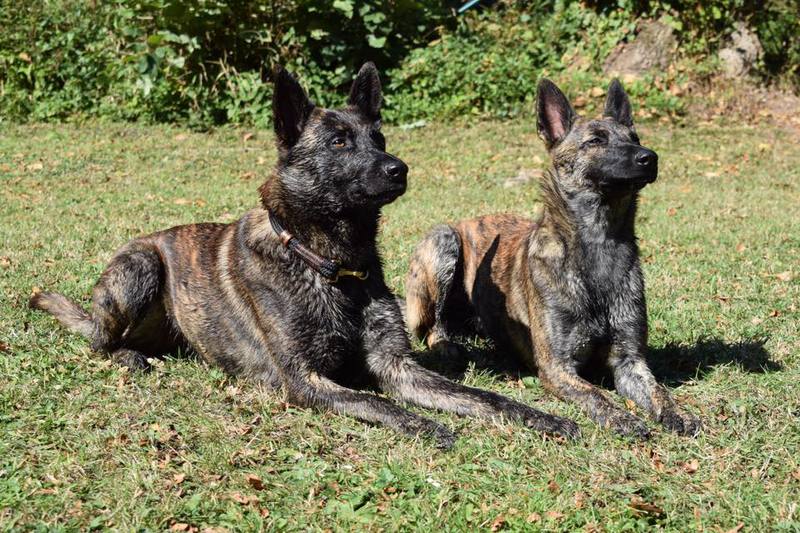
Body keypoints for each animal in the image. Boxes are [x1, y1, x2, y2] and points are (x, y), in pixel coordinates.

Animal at [29, 63, 579, 447]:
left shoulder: (396, 366)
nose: (399, 168)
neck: (332, 265)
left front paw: (544, 417)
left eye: (379, 138)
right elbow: (378, 404)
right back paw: (126, 355)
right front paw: (430, 427)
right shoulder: (305, 380)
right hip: (139, 269)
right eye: (338, 141)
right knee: (99, 341)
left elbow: (482, 397)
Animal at [405, 78, 701, 438]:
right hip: (444, 241)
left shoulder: (630, 361)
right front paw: (622, 417)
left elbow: (659, 390)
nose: (650, 157)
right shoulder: (557, 367)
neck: (598, 245)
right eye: (596, 141)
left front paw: (678, 412)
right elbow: (596, 394)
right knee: (432, 325)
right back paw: (446, 344)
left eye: (635, 138)